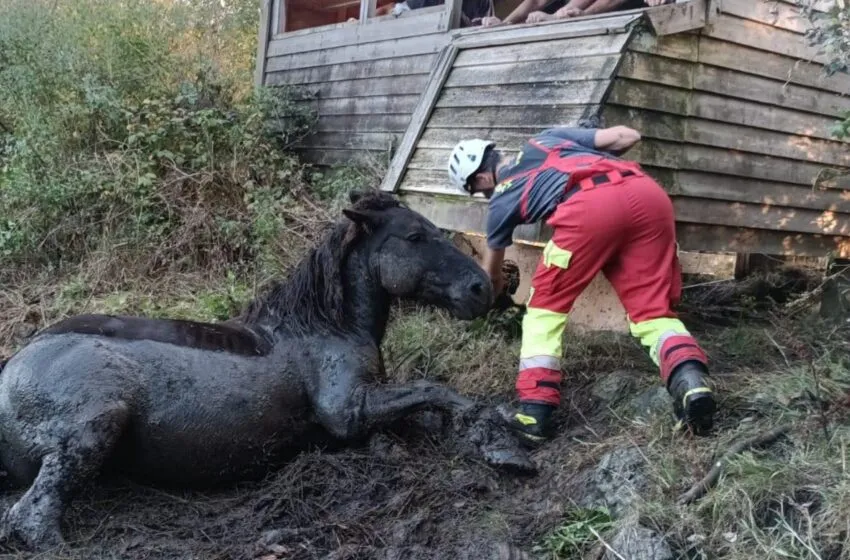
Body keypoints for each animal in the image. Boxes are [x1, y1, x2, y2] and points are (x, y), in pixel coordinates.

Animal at [0, 189, 536, 551]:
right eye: (414, 235)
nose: (481, 289)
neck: (323, 324)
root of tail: (12, 369)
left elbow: (429, 407)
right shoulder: (350, 412)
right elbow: (440, 391)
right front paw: (504, 447)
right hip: (96, 426)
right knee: (30, 518)